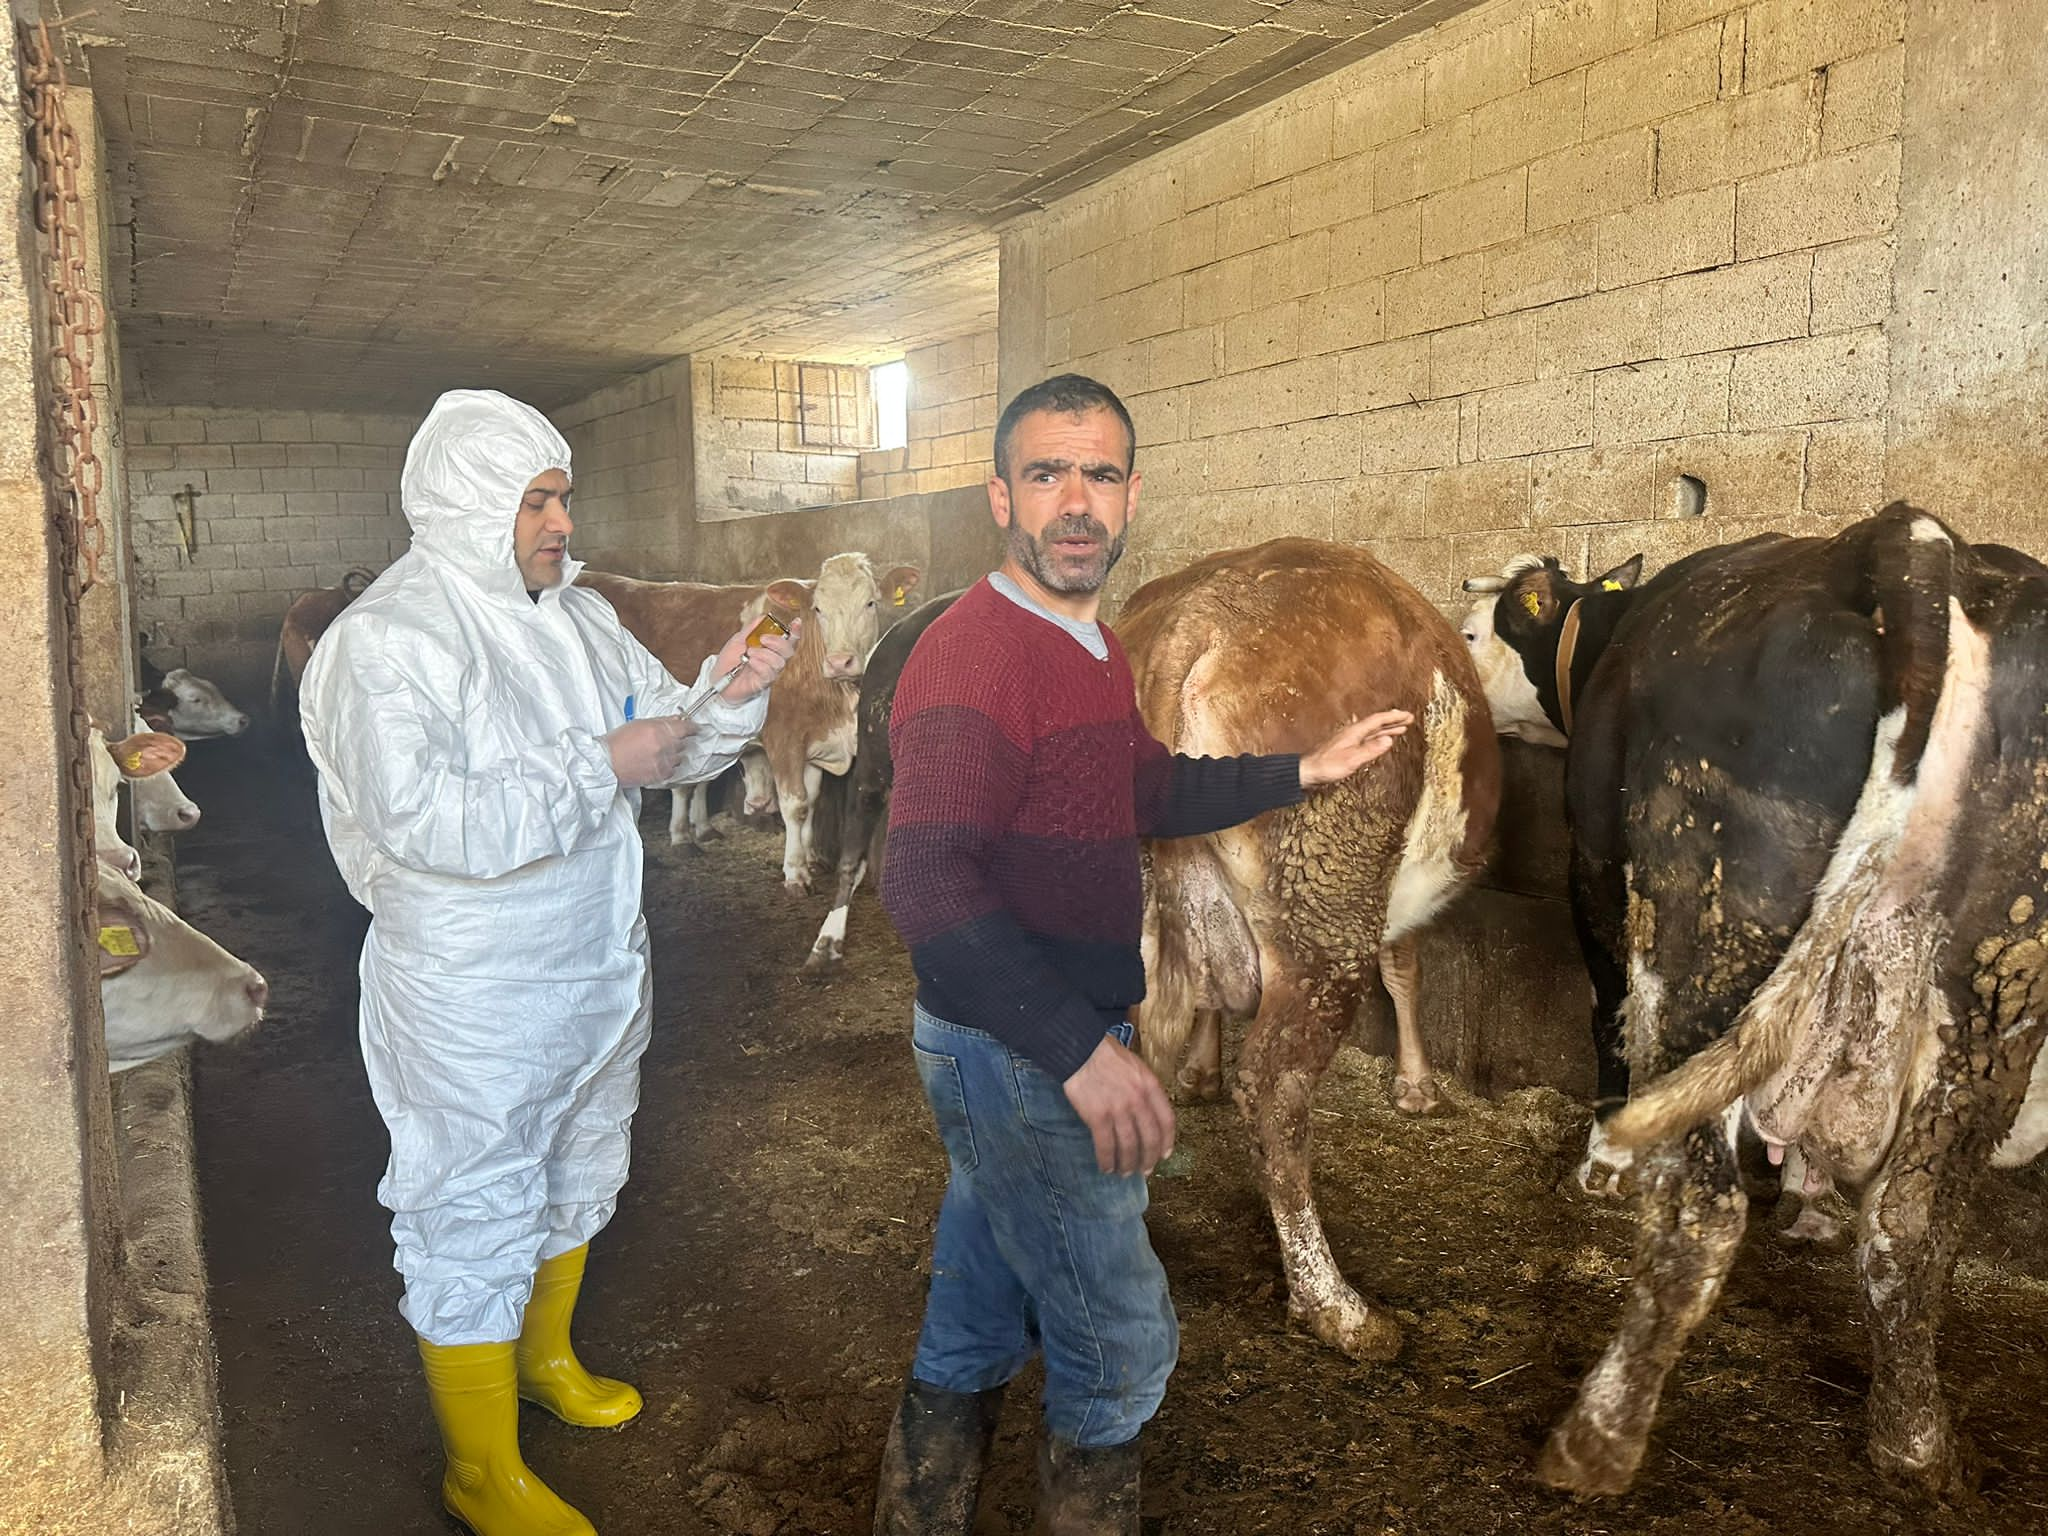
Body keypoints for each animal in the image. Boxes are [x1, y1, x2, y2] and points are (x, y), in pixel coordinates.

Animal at [1122, 540, 1507, 1359]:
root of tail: (1195, 618)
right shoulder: (1389, 908)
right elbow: (1405, 968)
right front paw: (1418, 1088)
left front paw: (1199, 1071)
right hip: (1326, 907)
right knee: (1276, 1088)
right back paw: (1337, 1306)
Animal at [1458, 507, 2048, 1507]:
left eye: (1470, 634)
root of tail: (1919, 540)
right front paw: (1806, 1204)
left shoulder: (1594, 873)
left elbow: (1604, 1019)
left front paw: (1597, 1166)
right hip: (1993, 985)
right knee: (1914, 1222)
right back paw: (1917, 1447)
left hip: (1707, 915)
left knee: (1702, 1205)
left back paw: (1593, 1442)